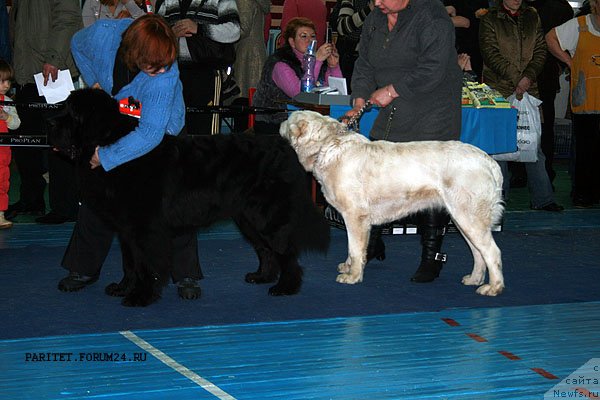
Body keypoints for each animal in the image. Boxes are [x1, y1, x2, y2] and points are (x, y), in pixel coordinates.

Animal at [48, 87, 330, 306]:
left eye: (71, 114)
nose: (50, 125)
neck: (115, 146)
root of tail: (286, 147)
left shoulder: (145, 228)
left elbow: (146, 265)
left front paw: (141, 296)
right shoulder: (127, 229)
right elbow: (130, 263)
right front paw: (123, 287)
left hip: (267, 217)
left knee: (286, 251)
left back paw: (285, 287)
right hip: (247, 219)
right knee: (266, 249)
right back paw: (262, 277)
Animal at [282, 109, 506, 296]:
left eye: (288, 119)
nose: (280, 123)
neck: (326, 145)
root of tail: (489, 161)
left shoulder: (355, 215)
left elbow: (354, 249)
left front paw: (352, 276)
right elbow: (354, 249)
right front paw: (349, 267)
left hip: (469, 217)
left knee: (492, 252)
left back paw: (493, 287)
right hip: (462, 219)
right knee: (478, 252)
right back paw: (474, 279)